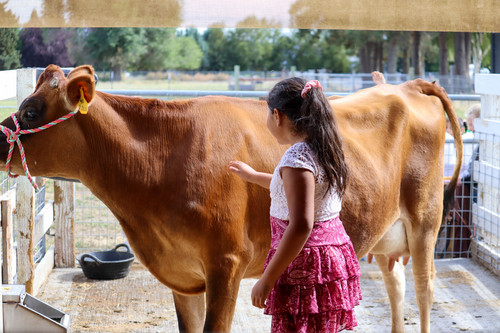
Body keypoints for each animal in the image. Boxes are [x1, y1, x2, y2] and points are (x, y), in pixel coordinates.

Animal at [0, 65, 462, 332]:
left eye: (30, 112)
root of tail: (407, 86)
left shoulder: (227, 264)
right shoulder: (183, 275)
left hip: (425, 218)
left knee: (424, 291)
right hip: (388, 234)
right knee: (397, 287)